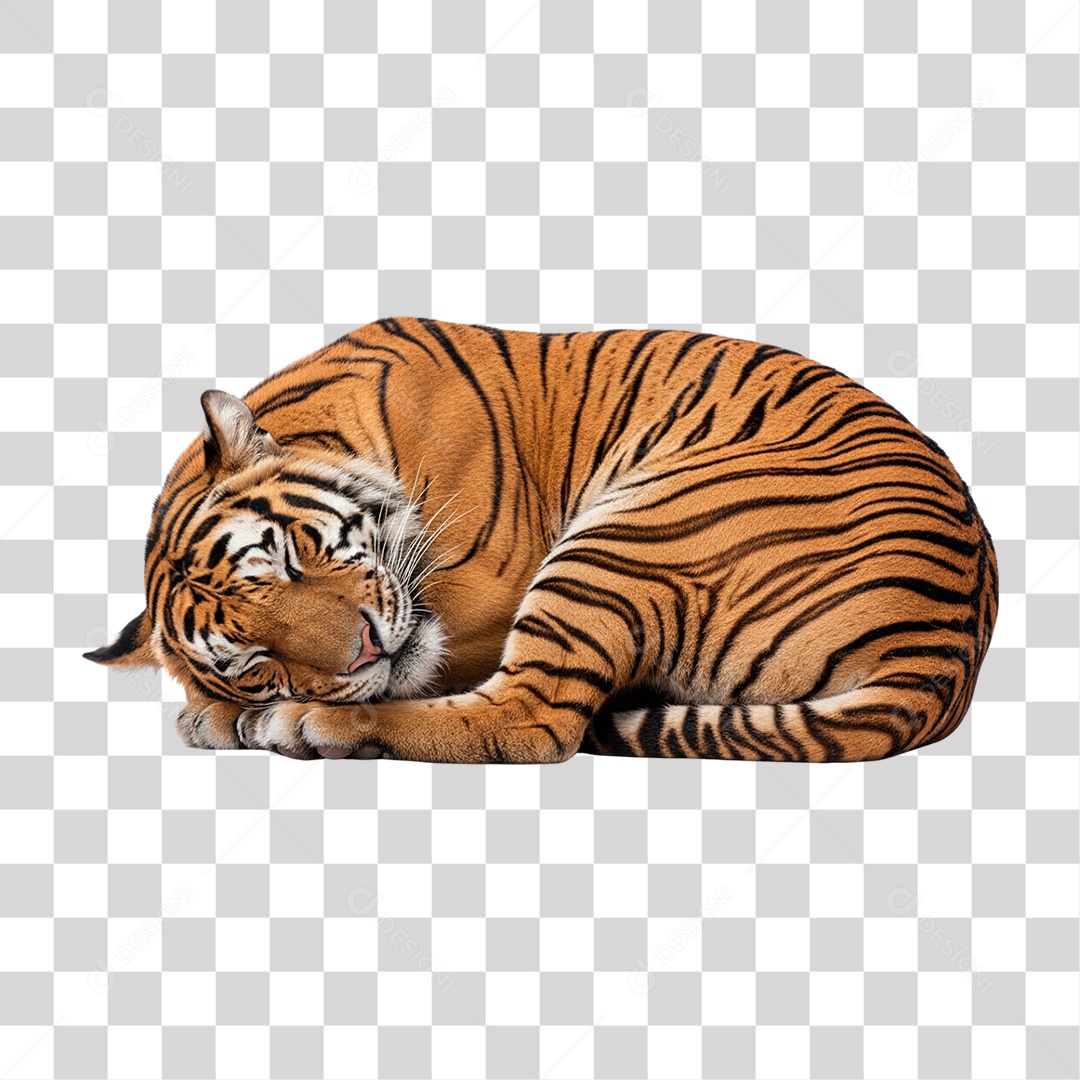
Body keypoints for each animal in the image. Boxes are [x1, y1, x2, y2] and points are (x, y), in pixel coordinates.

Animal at [85, 317, 999, 763]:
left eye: (287, 556)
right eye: (254, 660)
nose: (362, 653)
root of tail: (947, 654)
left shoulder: (486, 597)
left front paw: (229, 718)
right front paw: (222, 710)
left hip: (625, 539)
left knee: (533, 721)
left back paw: (310, 727)